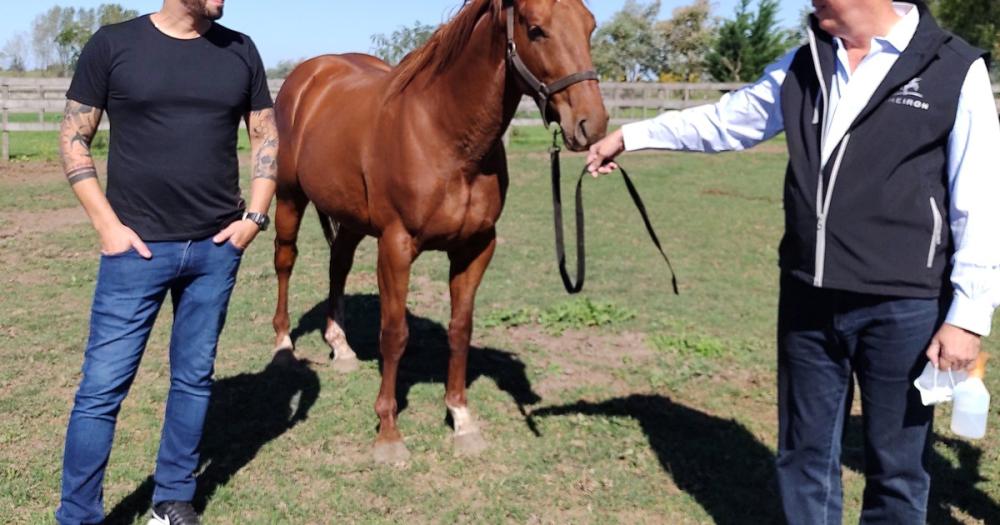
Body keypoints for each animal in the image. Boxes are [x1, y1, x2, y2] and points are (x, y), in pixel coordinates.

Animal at [270, 0, 604, 460]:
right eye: (536, 29)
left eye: (590, 26)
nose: (592, 124)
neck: (445, 135)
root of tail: (310, 75)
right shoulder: (396, 246)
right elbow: (394, 334)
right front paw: (388, 432)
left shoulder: (476, 248)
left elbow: (460, 330)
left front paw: (461, 419)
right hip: (289, 196)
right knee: (285, 260)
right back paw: (283, 344)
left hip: (352, 217)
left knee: (338, 265)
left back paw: (341, 346)